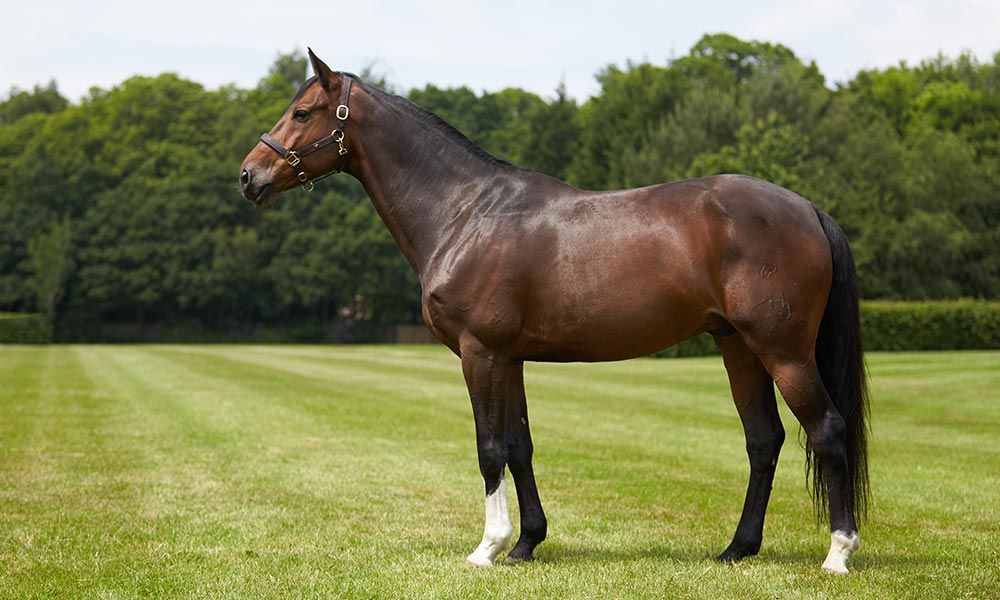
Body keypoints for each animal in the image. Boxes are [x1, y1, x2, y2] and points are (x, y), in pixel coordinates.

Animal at [240, 49, 868, 576]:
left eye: (302, 112)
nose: (249, 176)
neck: (467, 212)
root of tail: (807, 208)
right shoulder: (510, 358)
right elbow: (519, 448)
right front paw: (526, 543)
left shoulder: (480, 354)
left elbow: (489, 448)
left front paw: (487, 548)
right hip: (738, 347)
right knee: (763, 440)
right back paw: (737, 548)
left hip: (783, 352)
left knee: (828, 429)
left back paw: (837, 554)